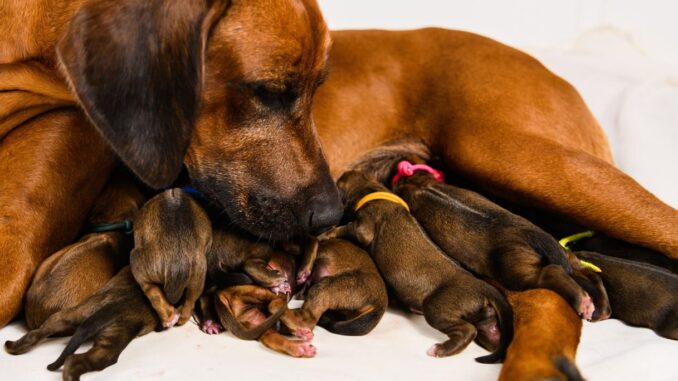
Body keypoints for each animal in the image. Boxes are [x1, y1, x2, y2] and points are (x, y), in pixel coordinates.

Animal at [130, 189, 210, 328]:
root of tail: (176, 266)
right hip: (198, 276)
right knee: (190, 300)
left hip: (138, 264)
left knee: (152, 292)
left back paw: (169, 318)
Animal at [326, 171, 512, 360]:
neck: (372, 189)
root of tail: (483, 286)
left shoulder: (365, 225)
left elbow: (350, 230)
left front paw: (329, 232)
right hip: (484, 318)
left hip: (437, 306)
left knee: (467, 330)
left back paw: (440, 349)